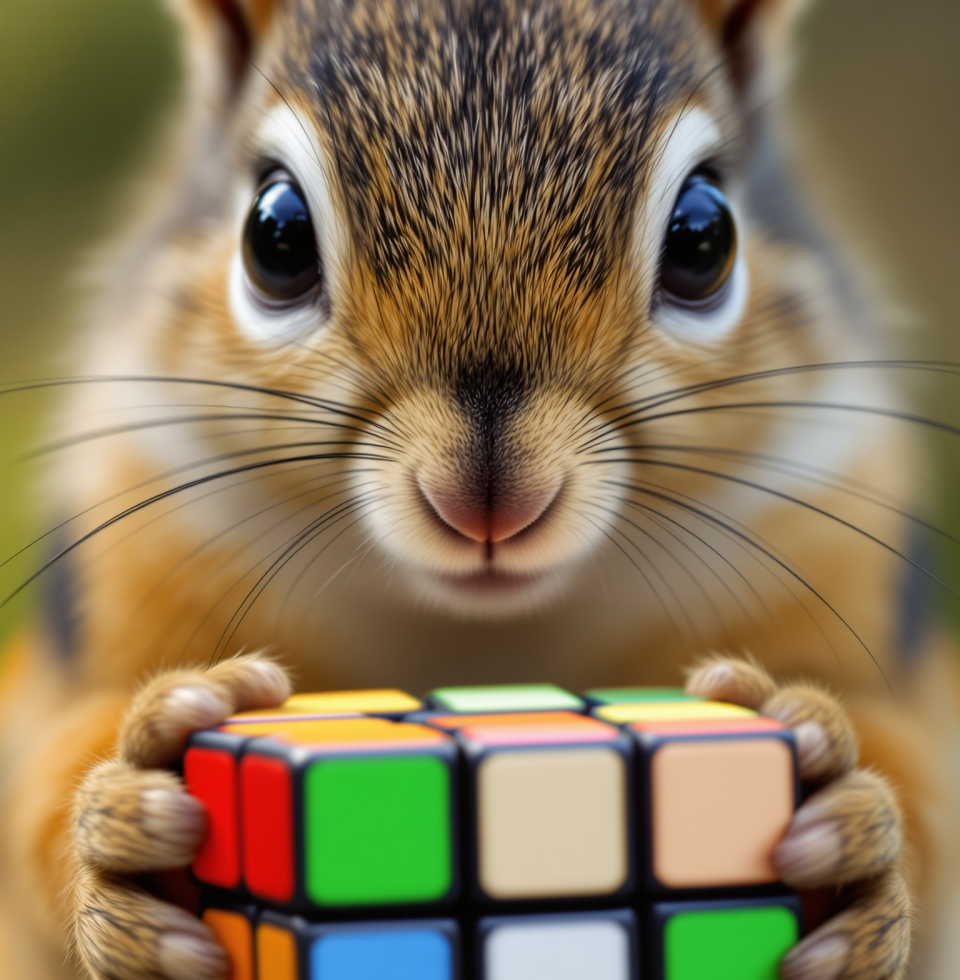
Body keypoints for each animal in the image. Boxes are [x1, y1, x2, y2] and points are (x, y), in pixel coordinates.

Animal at [0, 0, 957, 978]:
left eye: (704, 235)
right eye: (275, 235)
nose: (489, 500)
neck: (480, 639)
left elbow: (925, 781)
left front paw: (844, 813)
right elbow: (35, 783)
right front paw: (132, 806)